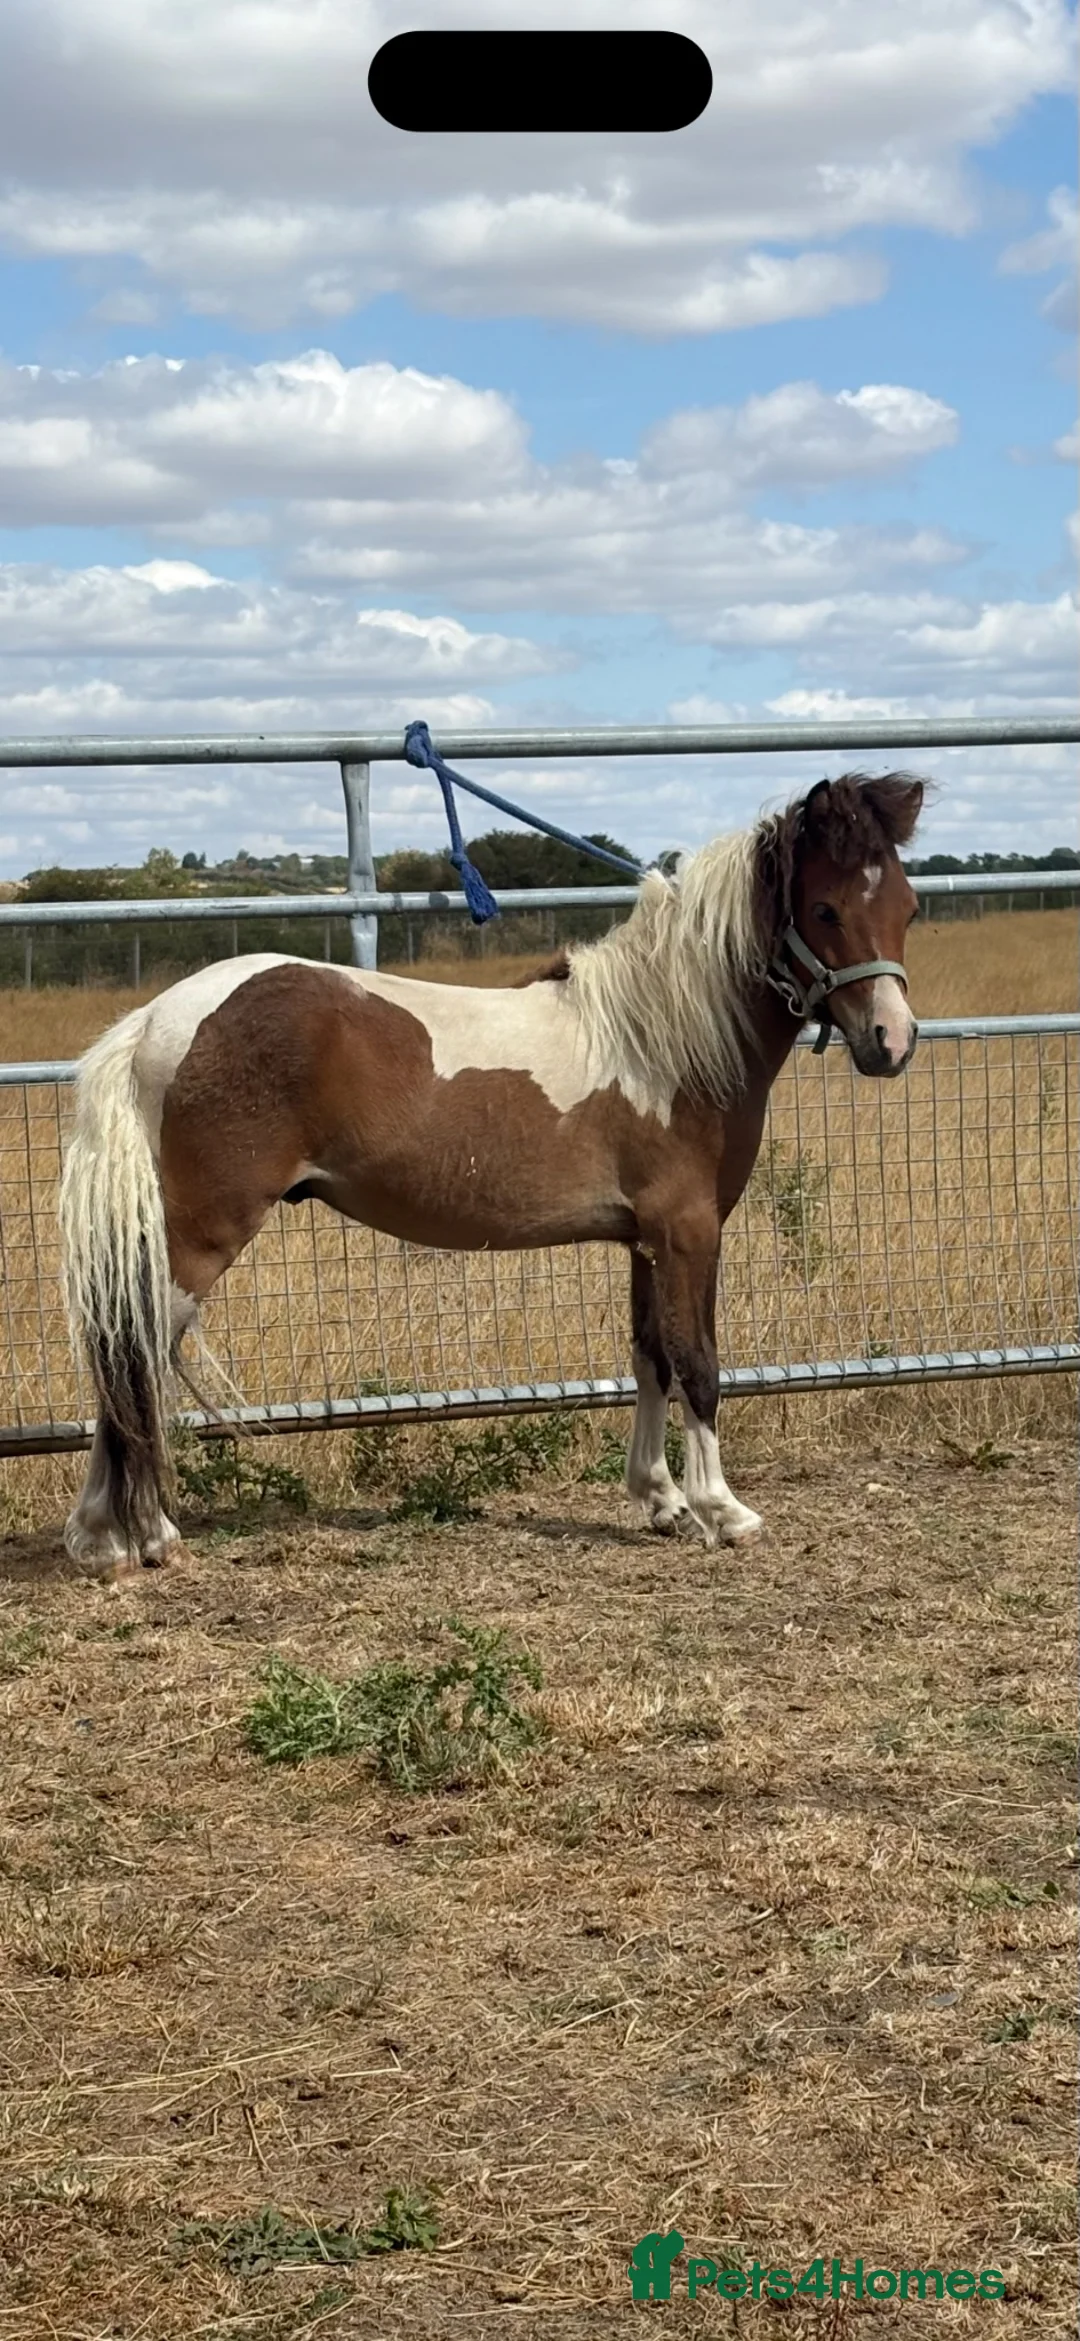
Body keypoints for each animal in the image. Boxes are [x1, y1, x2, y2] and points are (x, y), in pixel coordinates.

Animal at [58, 770, 924, 1582]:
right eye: (825, 910)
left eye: (909, 908)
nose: (893, 1040)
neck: (664, 1044)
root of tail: (158, 1018)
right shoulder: (687, 1232)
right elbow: (699, 1364)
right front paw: (723, 1509)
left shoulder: (644, 1239)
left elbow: (649, 1357)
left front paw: (662, 1500)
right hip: (198, 1239)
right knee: (133, 1356)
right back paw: (145, 1535)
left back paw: (104, 1538)